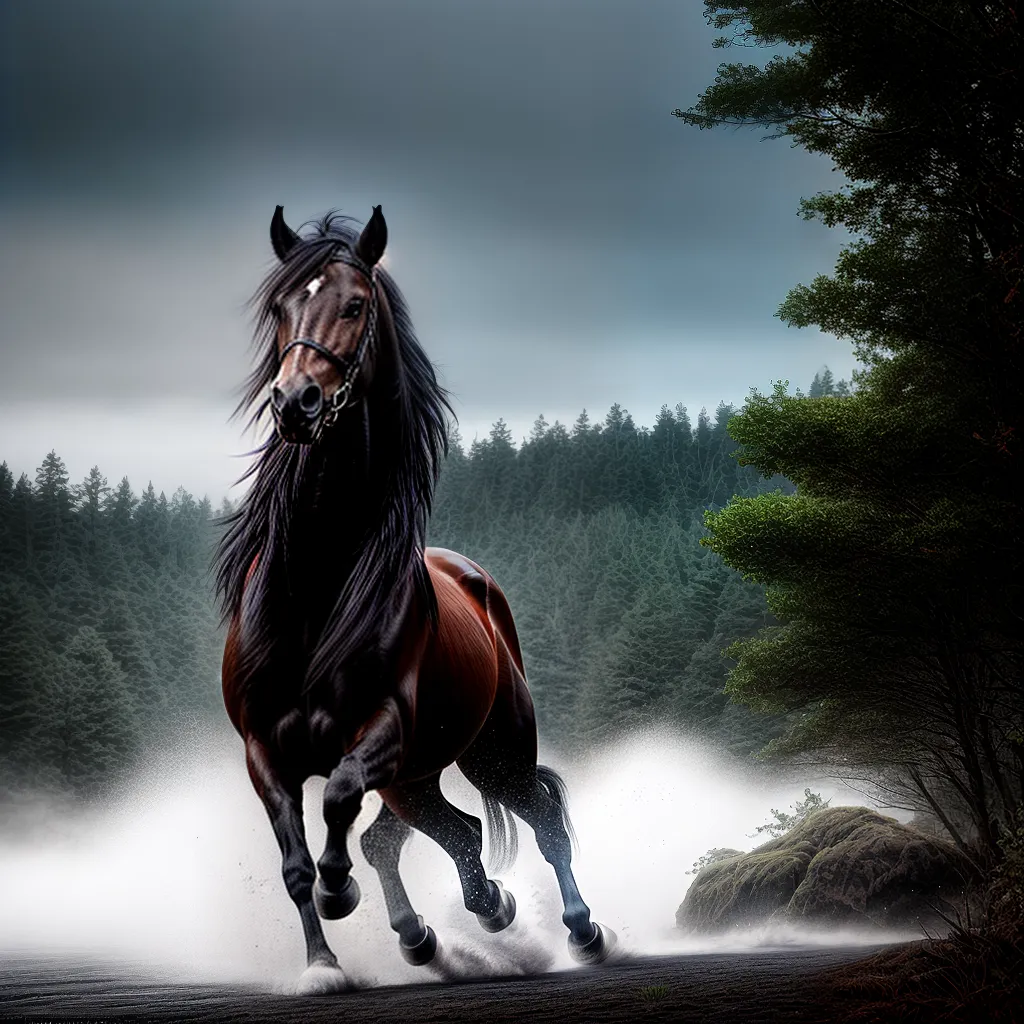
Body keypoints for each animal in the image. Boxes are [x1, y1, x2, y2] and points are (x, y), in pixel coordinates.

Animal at [216, 205, 614, 993]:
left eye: (355, 305)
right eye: (280, 306)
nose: (296, 403)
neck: (313, 591)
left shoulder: (384, 730)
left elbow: (338, 802)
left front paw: (342, 892)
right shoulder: (264, 750)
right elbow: (296, 864)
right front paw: (322, 966)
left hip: (489, 750)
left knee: (539, 816)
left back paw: (579, 929)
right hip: (419, 776)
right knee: (435, 833)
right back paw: (445, 925)